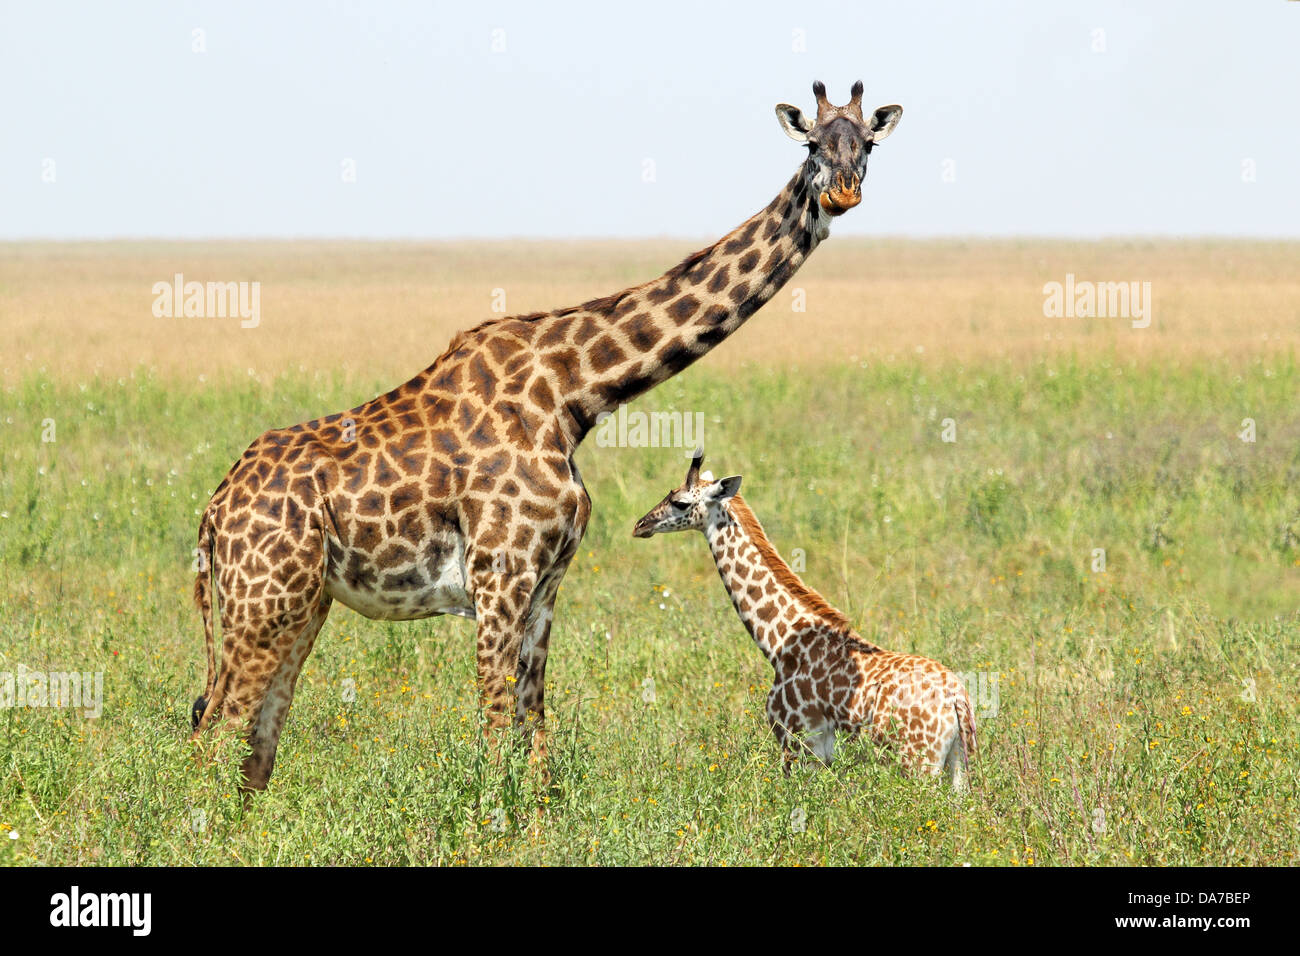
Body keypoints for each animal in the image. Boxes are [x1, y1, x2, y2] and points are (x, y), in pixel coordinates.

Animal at [192, 82, 904, 790]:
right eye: (813, 145)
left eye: (866, 144)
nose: (842, 194)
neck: (573, 396)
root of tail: (215, 509)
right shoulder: (499, 576)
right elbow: (493, 732)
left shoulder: (545, 583)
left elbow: (535, 734)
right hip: (263, 601)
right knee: (214, 730)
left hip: (300, 603)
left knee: (253, 741)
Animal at [629, 452, 977, 790]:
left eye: (680, 502)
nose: (640, 525)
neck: (778, 641)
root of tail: (957, 699)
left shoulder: (797, 742)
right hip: (958, 766)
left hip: (918, 764)